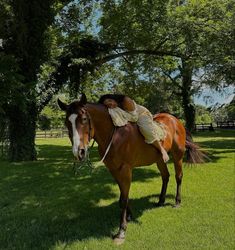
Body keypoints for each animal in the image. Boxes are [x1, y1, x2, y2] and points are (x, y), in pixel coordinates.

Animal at [57, 94, 205, 244]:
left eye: (84, 119)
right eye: (67, 123)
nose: (79, 152)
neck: (114, 134)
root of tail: (176, 121)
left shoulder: (125, 169)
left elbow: (123, 199)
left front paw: (121, 231)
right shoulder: (114, 170)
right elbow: (123, 195)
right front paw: (129, 216)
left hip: (177, 155)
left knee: (178, 176)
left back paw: (177, 202)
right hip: (159, 160)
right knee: (165, 176)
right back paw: (160, 201)